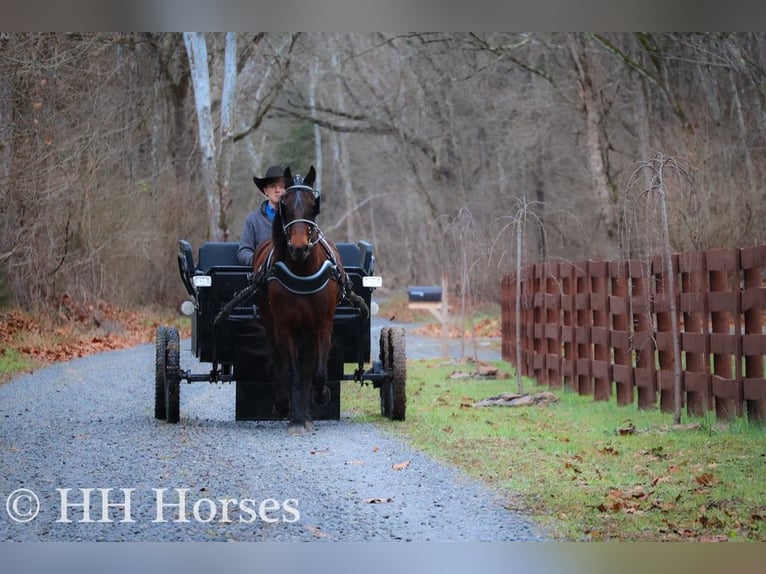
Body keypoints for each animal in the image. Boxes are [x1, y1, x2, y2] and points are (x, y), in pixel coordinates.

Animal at [254, 166, 346, 436]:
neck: (303, 271)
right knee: (278, 362)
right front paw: (294, 418)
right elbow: (292, 372)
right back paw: (285, 404)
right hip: (272, 324)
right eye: (284, 205)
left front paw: (318, 399)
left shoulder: (322, 325)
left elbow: (316, 373)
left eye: (313, 206)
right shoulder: (285, 326)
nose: (298, 248)